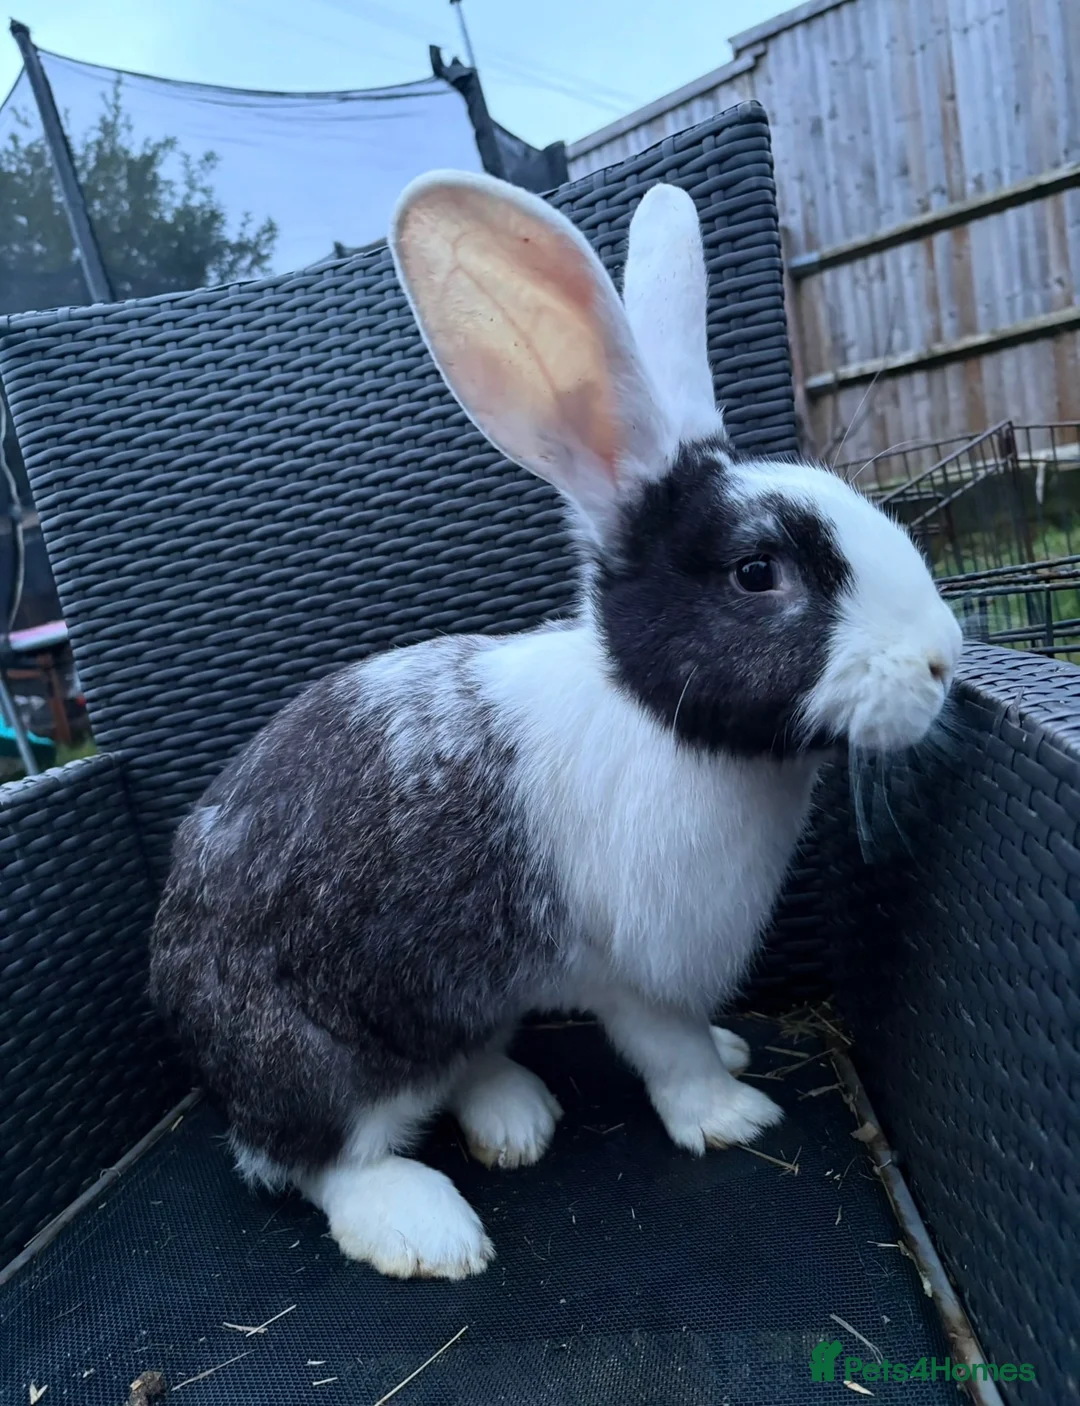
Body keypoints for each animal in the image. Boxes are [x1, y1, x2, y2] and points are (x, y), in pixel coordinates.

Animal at [149, 172, 962, 1282]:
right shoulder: (634, 969)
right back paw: (428, 1227)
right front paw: (733, 1113)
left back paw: (514, 1113)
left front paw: (734, 1053)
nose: (942, 660)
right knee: (317, 1161)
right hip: (321, 1055)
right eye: (759, 572)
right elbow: (671, 1050)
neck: (653, 716)